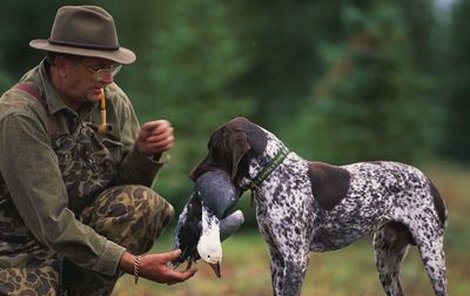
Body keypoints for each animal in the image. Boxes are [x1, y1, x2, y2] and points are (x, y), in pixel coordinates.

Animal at [191, 117, 448, 296]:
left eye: (212, 148)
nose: (192, 175)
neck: (275, 173)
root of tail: (429, 181)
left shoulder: (296, 259)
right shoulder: (276, 258)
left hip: (432, 254)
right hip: (385, 259)